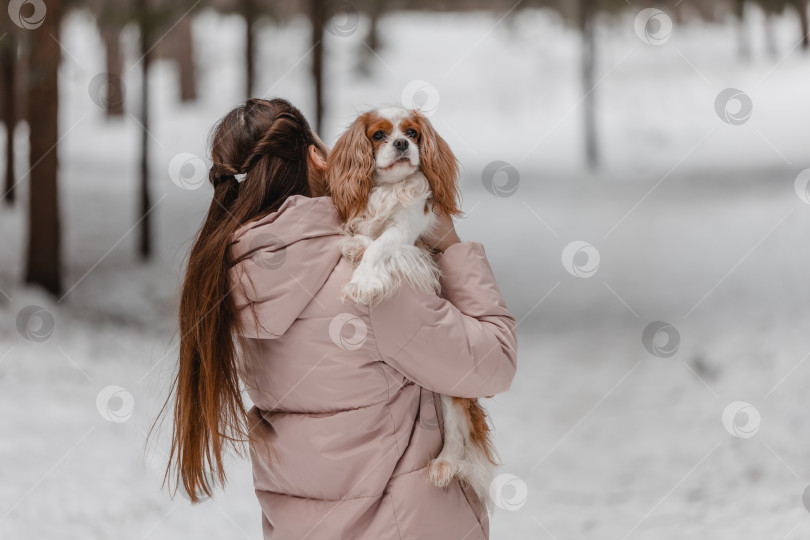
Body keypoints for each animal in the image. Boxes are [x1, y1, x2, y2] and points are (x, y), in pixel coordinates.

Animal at [324, 107, 498, 508]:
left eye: (414, 133)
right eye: (378, 135)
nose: (402, 143)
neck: (389, 188)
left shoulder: (409, 225)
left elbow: (381, 244)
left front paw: (362, 281)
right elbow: (364, 234)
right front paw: (354, 245)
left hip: (449, 389)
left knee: (457, 427)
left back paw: (444, 465)